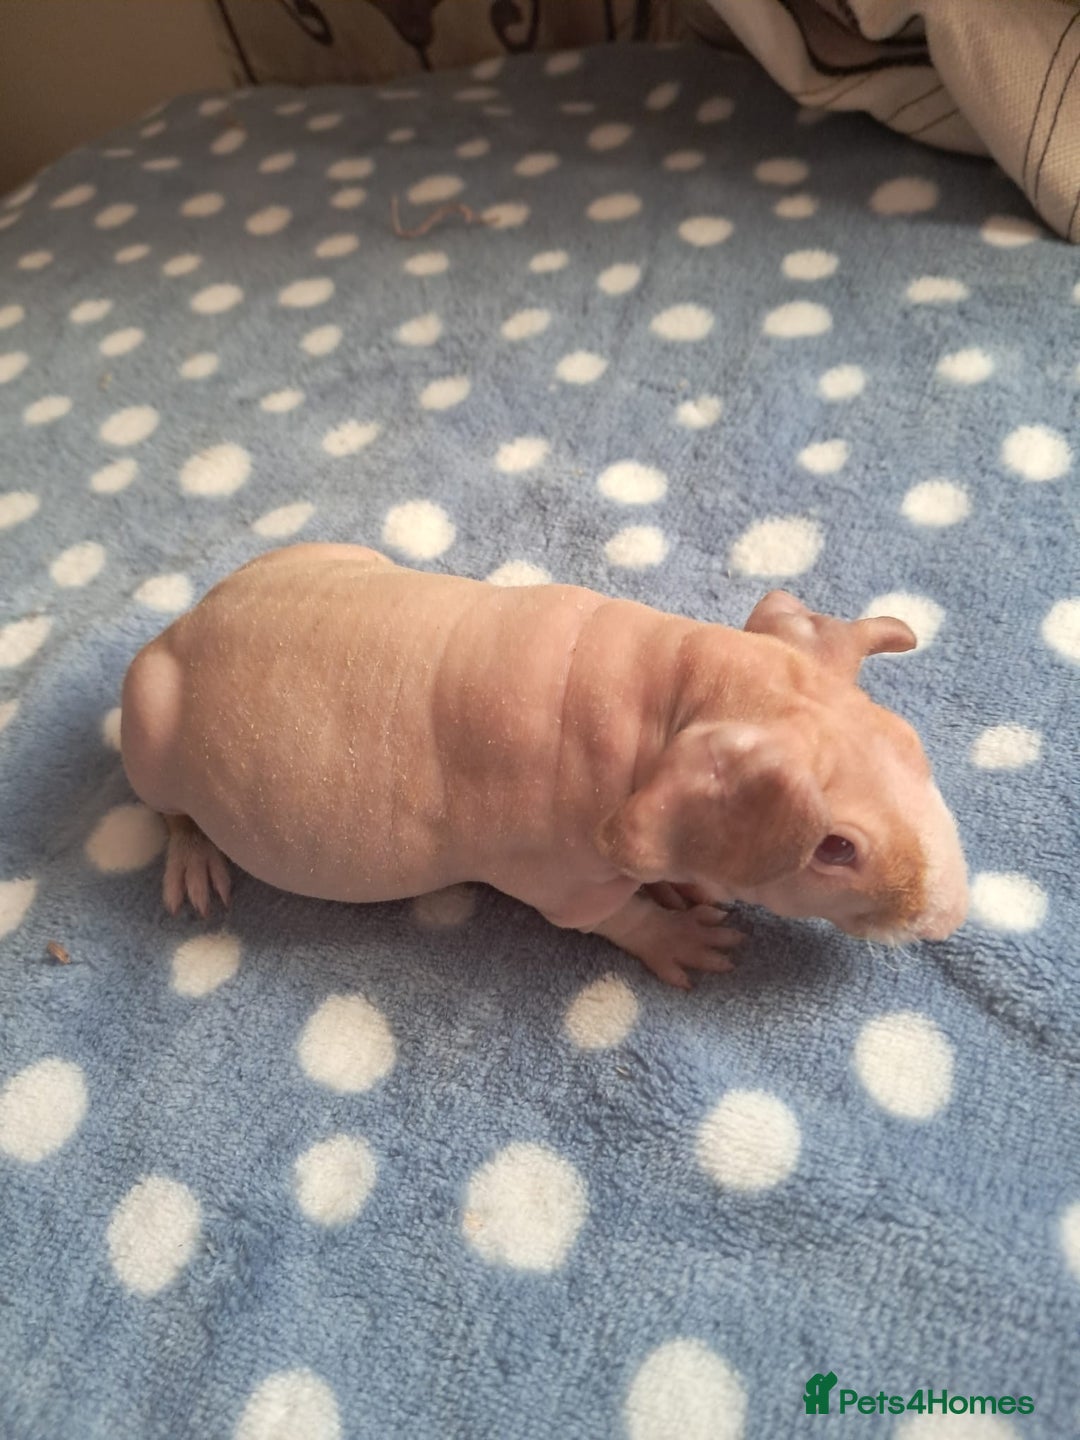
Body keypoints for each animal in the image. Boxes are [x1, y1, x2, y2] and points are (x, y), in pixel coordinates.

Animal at [120, 542, 968, 988]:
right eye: (837, 849)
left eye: (911, 745)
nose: (954, 915)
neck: (670, 688)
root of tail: (188, 618)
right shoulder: (557, 863)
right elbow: (601, 913)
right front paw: (680, 936)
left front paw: (684, 883)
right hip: (149, 716)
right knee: (166, 804)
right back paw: (193, 858)